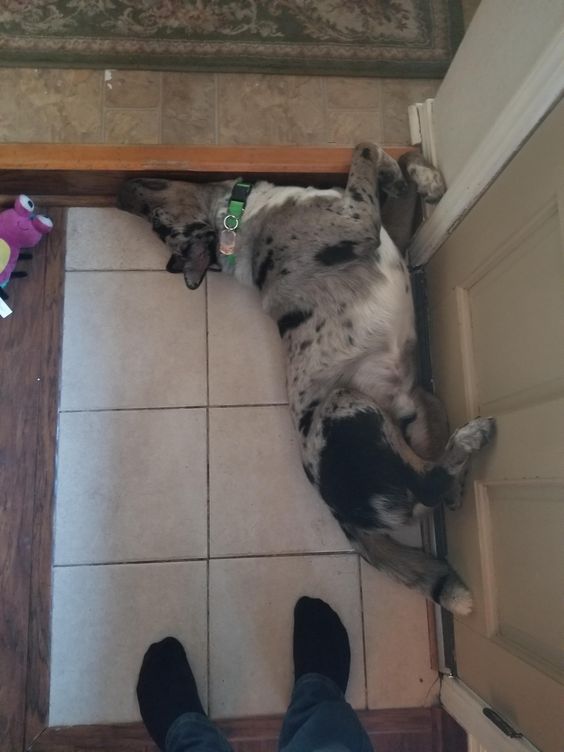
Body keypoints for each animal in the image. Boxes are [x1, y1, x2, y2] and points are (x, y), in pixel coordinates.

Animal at [118, 144, 494, 612]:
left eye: (156, 222)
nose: (118, 191)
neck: (235, 219)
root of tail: (344, 516)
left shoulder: (393, 236)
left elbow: (397, 165)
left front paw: (415, 176)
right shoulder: (360, 220)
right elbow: (364, 148)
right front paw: (391, 167)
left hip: (422, 404)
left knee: (430, 483)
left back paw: (457, 481)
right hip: (344, 404)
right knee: (427, 484)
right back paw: (470, 440)